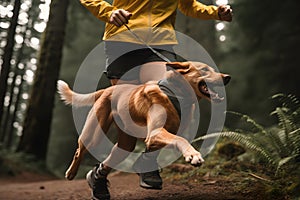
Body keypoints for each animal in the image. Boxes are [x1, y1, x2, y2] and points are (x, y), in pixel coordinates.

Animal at [57, 61, 231, 180]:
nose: (227, 77)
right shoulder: (155, 132)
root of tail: (107, 90)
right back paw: (71, 172)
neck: (174, 95)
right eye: (205, 70)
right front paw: (193, 155)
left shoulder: (158, 135)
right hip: (93, 135)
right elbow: (180, 140)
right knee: (79, 151)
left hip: (126, 144)